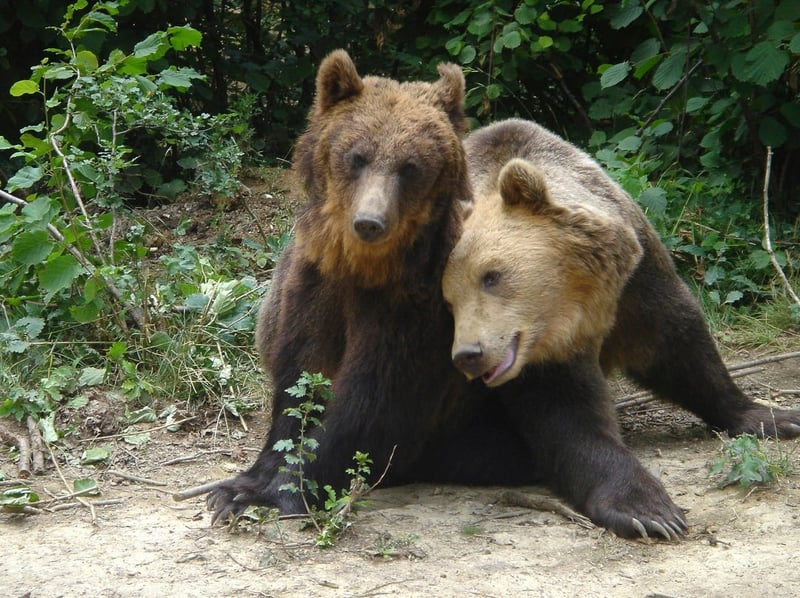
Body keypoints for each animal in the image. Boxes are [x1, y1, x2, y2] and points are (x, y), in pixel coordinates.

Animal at [444, 119, 800, 540]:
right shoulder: (545, 355)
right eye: (449, 300)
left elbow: (684, 350)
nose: (469, 354)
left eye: (491, 276)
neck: (581, 302)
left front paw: (774, 417)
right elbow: (569, 417)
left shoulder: (637, 289)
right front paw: (649, 510)